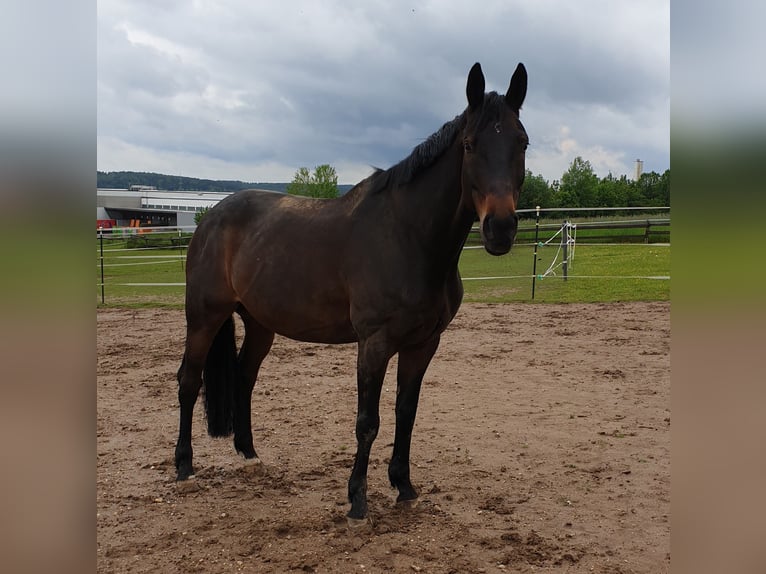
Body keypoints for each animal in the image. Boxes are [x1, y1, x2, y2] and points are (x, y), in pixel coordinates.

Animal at [174, 61, 529, 524]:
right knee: (188, 380)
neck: (409, 237)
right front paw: (357, 500)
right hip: (204, 316)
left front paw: (404, 487)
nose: (500, 228)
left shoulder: (423, 344)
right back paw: (184, 467)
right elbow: (368, 421)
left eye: (522, 142)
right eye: (469, 145)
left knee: (244, 377)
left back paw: (249, 455)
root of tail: (210, 217)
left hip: (259, 324)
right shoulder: (374, 343)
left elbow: (406, 413)